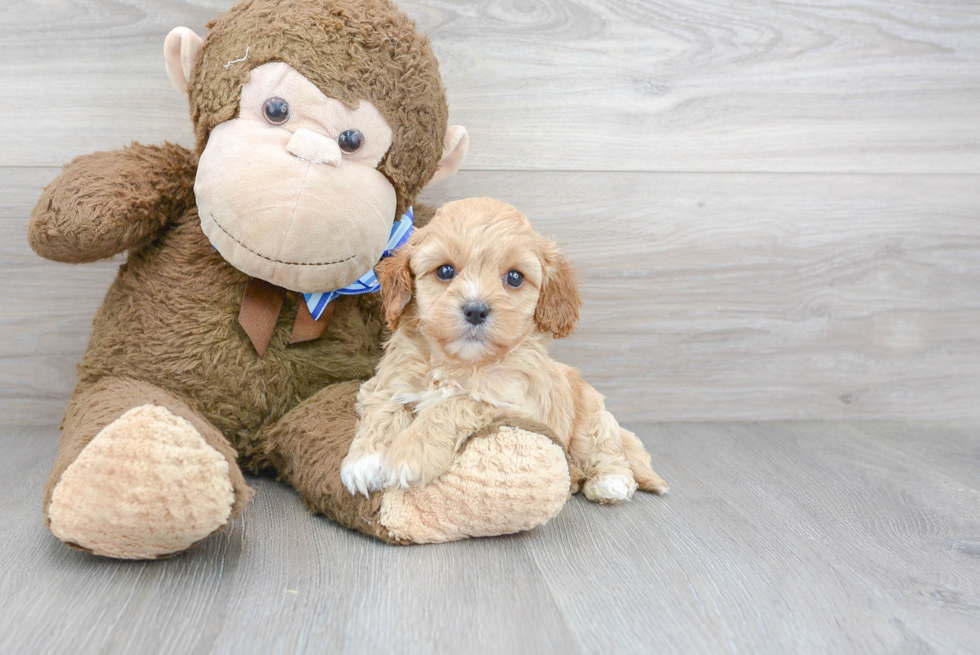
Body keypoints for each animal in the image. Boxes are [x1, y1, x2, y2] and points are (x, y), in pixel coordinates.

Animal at [340, 197, 668, 504]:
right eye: (445, 271)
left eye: (514, 277)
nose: (475, 310)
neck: (457, 362)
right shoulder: (386, 383)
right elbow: (384, 410)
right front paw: (364, 462)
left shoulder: (511, 401)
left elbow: (453, 404)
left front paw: (410, 455)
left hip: (590, 421)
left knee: (607, 452)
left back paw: (610, 481)